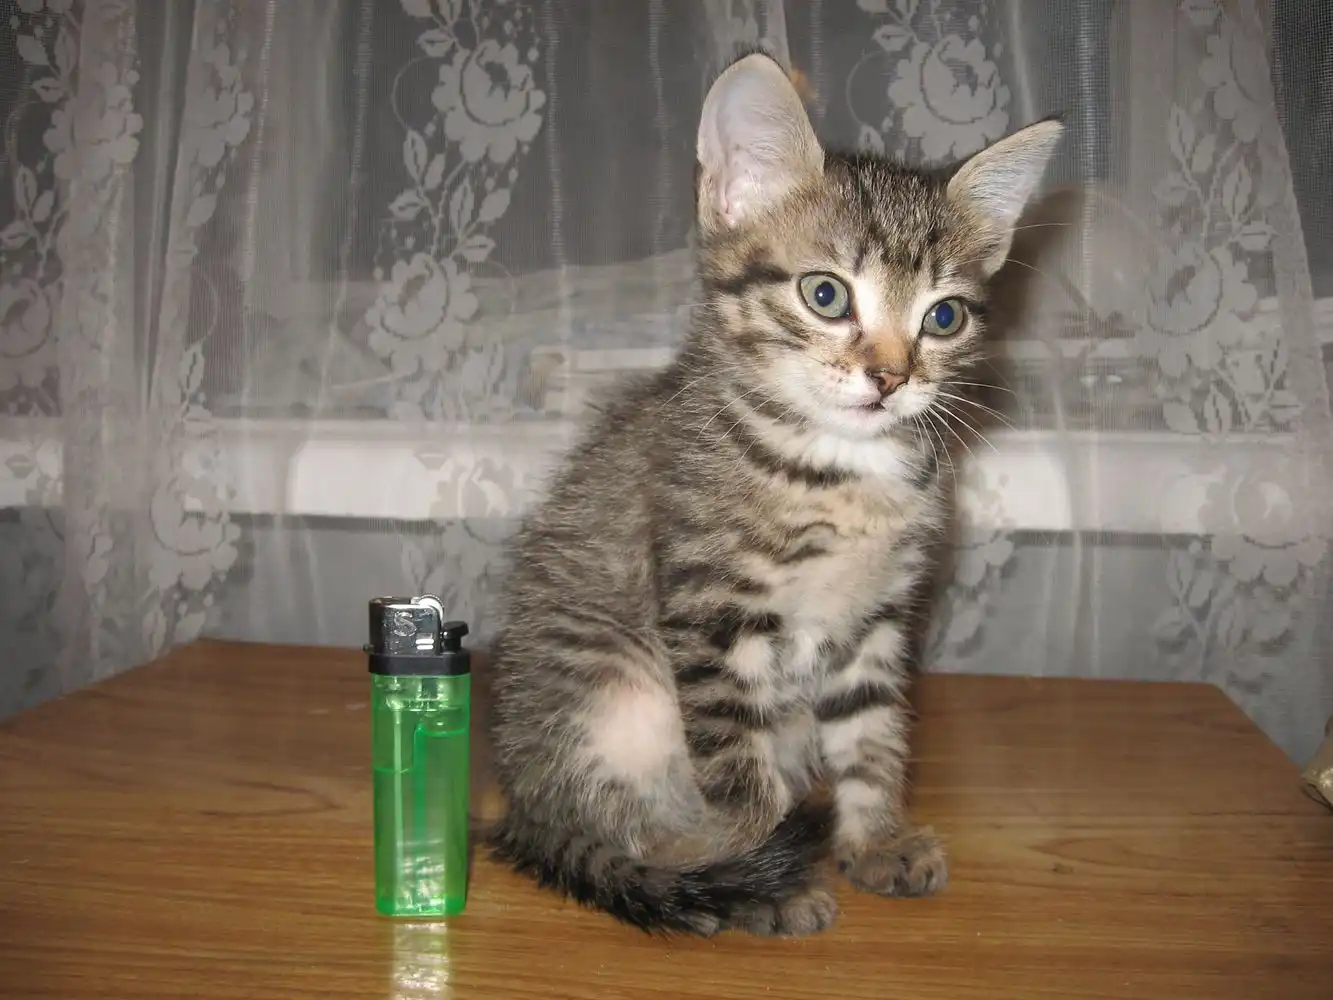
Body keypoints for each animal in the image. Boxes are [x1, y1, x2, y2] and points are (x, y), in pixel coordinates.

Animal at [486, 50, 1063, 937]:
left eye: (944, 317)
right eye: (825, 295)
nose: (890, 377)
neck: (837, 469)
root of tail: (526, 803)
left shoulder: (875, 619)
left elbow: (870, 735)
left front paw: (875, 839)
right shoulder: (711, 616)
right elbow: (738, 773)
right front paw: (767, 872)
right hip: (612, 692)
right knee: (623, 817)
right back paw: (704, 873)